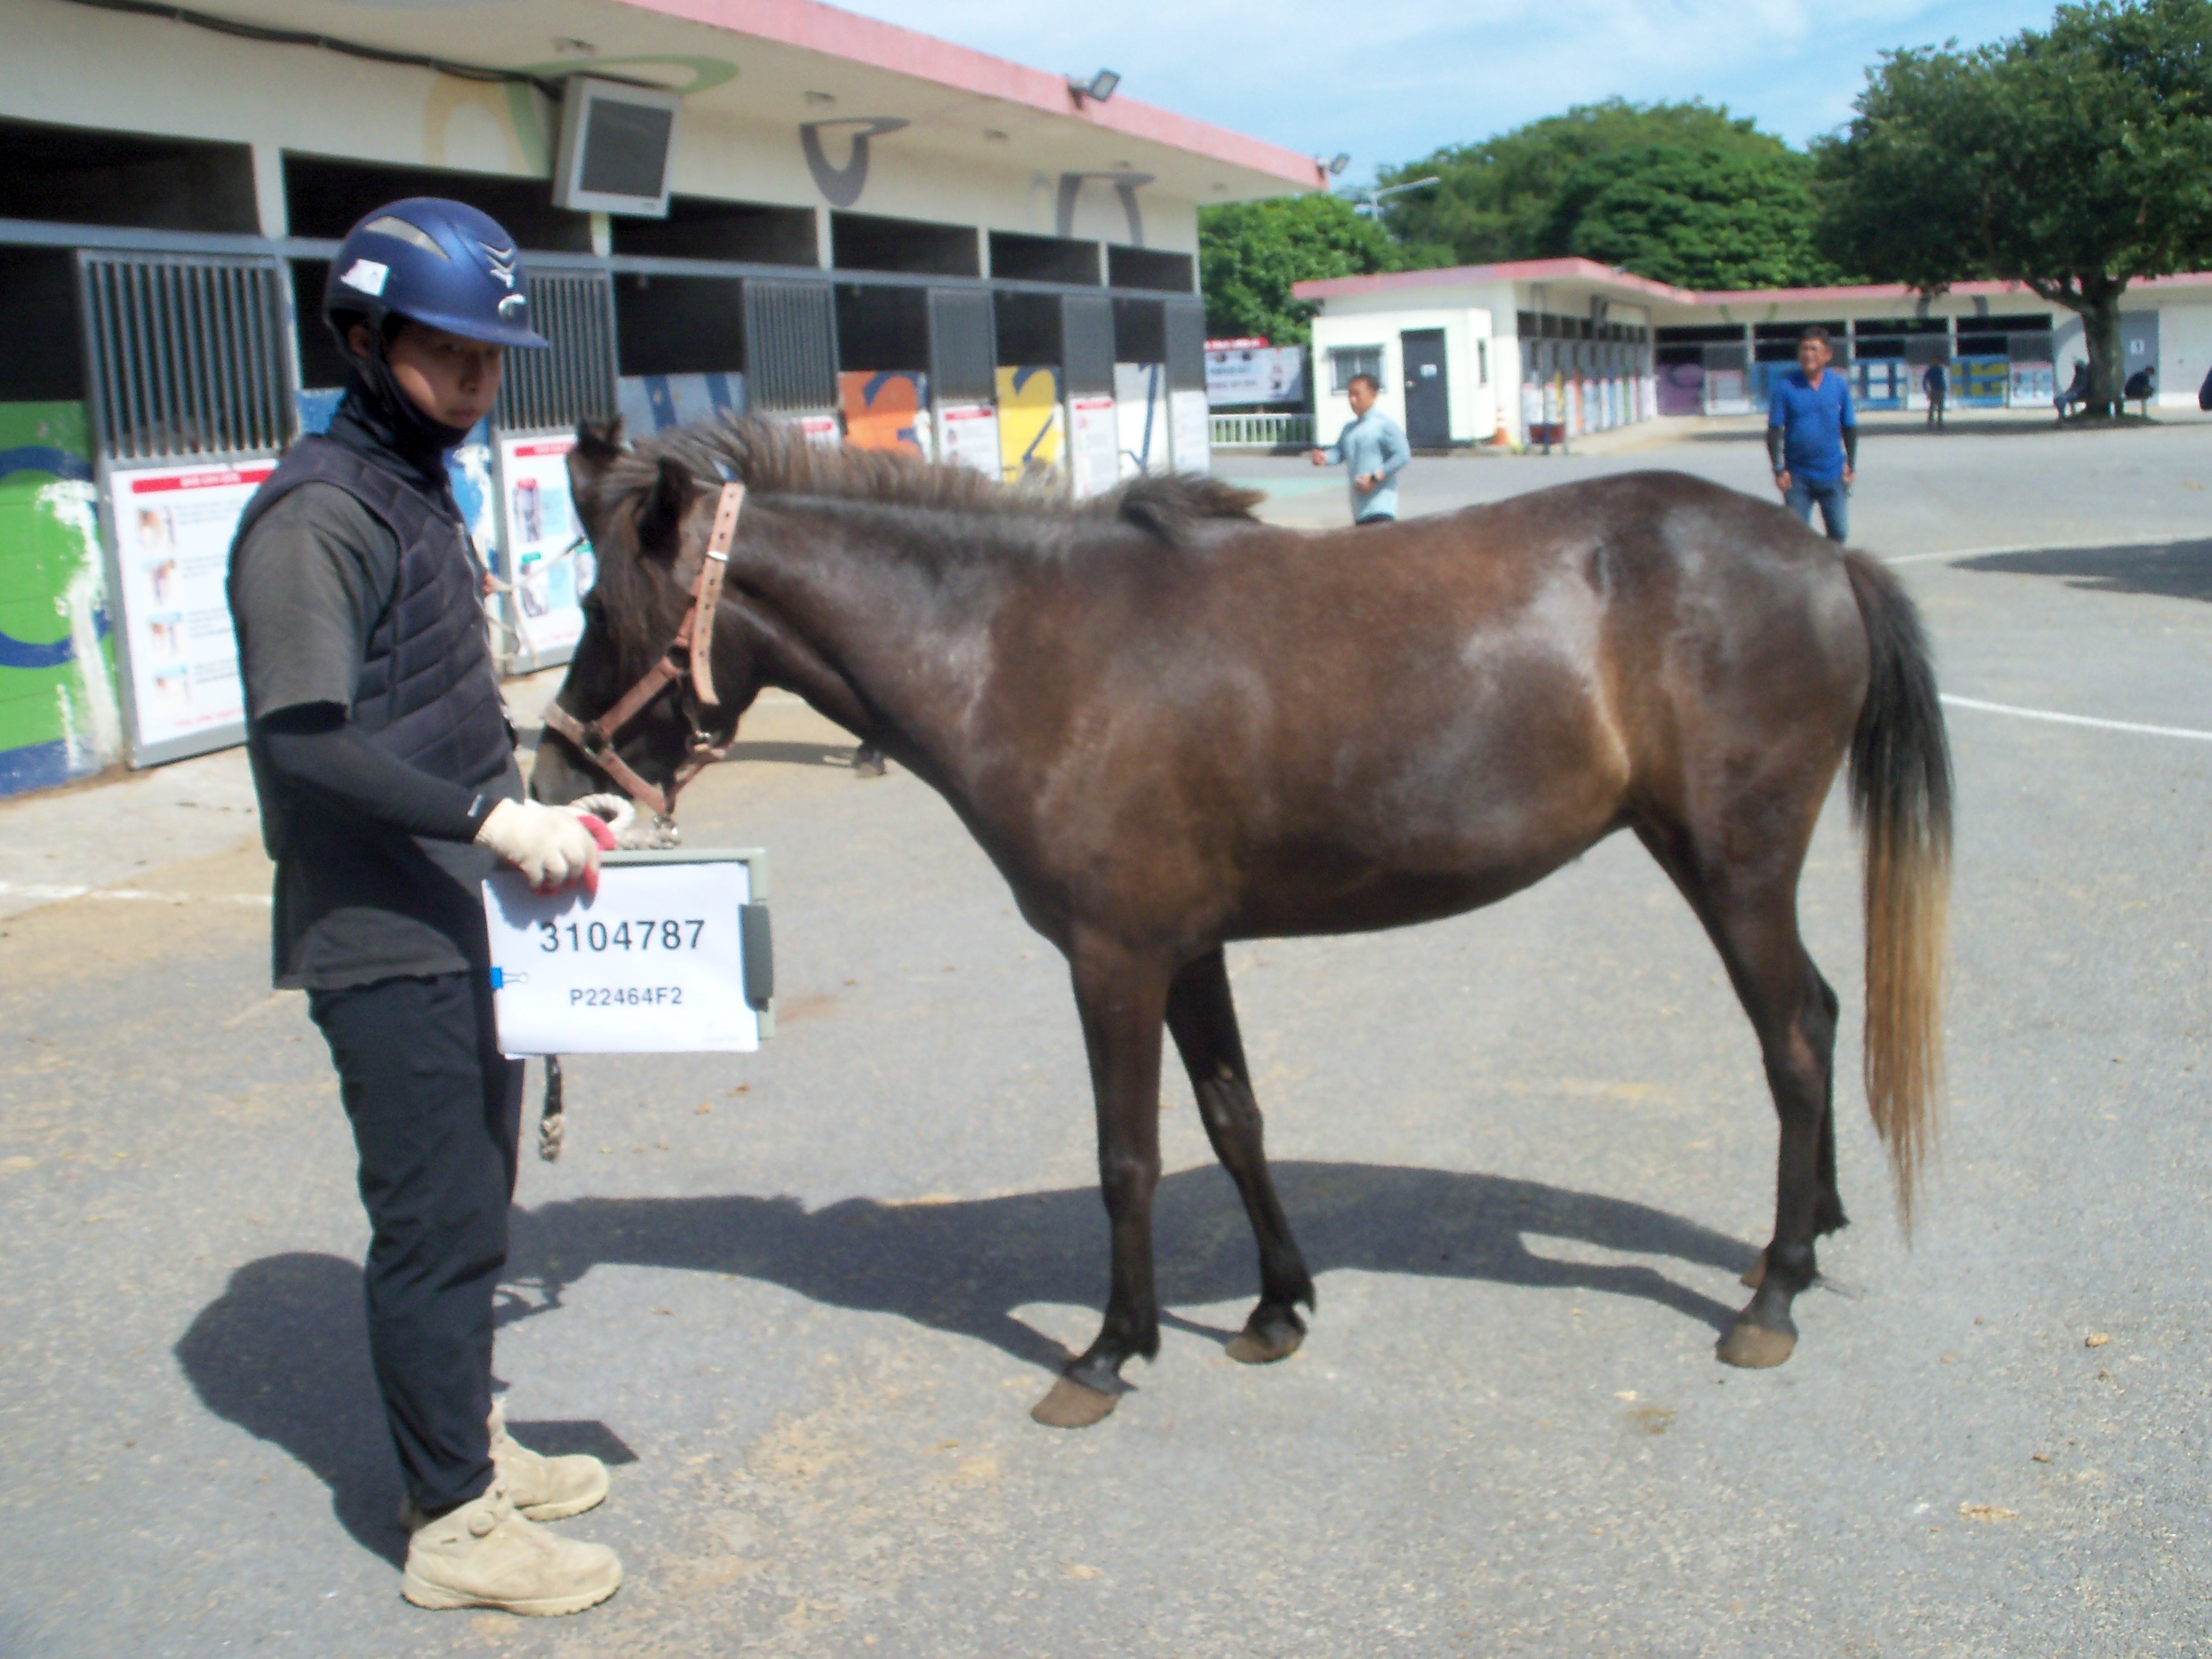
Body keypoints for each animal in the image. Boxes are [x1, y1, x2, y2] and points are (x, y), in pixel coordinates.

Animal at [535, 415, 1955, 1433]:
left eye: (602, 613)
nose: (549, 784)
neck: (1019, 649)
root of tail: (1824, 558)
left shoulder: (1111, 961)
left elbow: (1128, 1157)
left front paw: (1108, 1351)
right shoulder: (1187, 951)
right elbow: (1232, 1121)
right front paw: (1277, 1308)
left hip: (1731, 868)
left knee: (1792, 1038)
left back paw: (1771, 1293)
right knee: (1816, 1019)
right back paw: (1804, 1236)